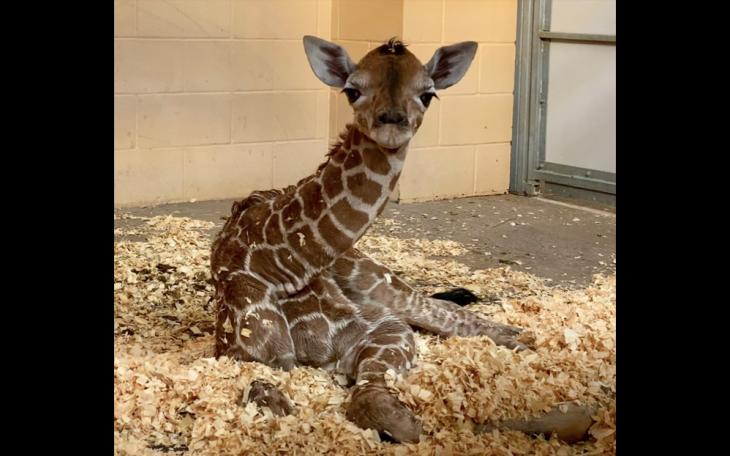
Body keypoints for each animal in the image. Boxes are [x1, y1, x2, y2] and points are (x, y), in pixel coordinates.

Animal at [210, 36, 532, 443]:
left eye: (428, 94)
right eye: (352, 90)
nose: (392, 122)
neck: (273, 263)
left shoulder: (383, 327)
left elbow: (373, 400)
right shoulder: (238, 354)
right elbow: (268, 391)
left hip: (386, 284)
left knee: (448, 311)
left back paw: (526, 336)